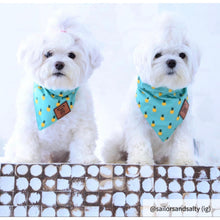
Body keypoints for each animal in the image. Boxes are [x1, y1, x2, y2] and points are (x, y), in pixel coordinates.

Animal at [2, 15, 102, 163]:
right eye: (48, 54)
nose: (59, 64)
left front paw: (85, 159)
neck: (57, 94)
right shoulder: (28, 125)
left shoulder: (84, 124)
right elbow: (28, 143)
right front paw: (27, 159)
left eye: (72, 55)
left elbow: (83, 143)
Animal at [102, 15, 200, 165]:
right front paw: (140, 161)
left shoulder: (184, 122)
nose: (171, 61)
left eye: (182, 55)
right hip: (115, 140)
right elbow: (140, 142)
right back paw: (119, 161)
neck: (163, 94)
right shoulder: (137, 122)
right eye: (157, 55)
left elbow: (183, 143)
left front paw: (184, 161)